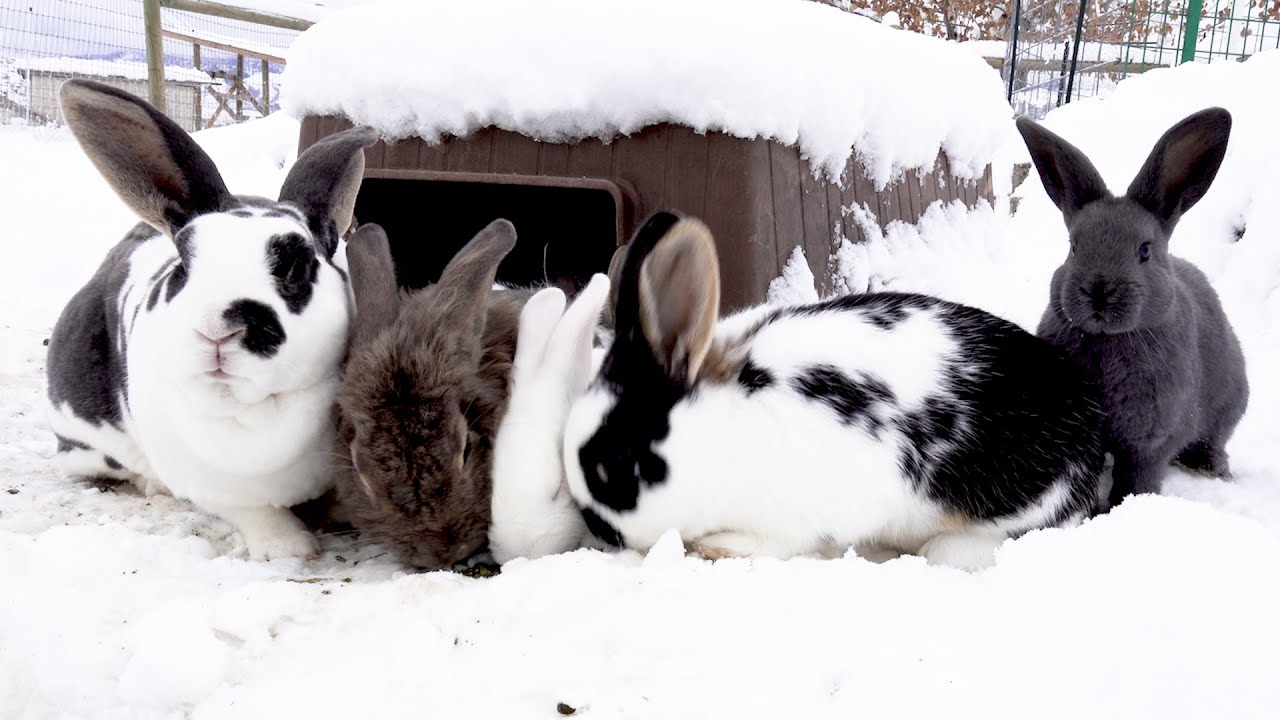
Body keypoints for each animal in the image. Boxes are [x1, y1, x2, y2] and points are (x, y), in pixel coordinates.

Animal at [45, 79, 377, 559]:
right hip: (83, 447)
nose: (219, 327)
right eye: (184, 266)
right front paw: (289, 549)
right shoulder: (214, 488)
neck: (254, 407)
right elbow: (254, 513)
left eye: (296, 266)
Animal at [561, 211, 1106, 571]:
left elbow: (773, 543)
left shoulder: (799, 515)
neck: (723, 428)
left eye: (614, 465)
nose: (599, 531)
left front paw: (717, 548)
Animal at [1016, 108, 1248, 508]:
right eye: (1074, 246)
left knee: (1214, 439)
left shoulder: (1149, 442)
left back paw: (1211, 467)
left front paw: (1120, 507)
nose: (1098, 291)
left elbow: (1137, 478)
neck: (1108, 340)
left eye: (1144, 250)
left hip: (1230, 404)